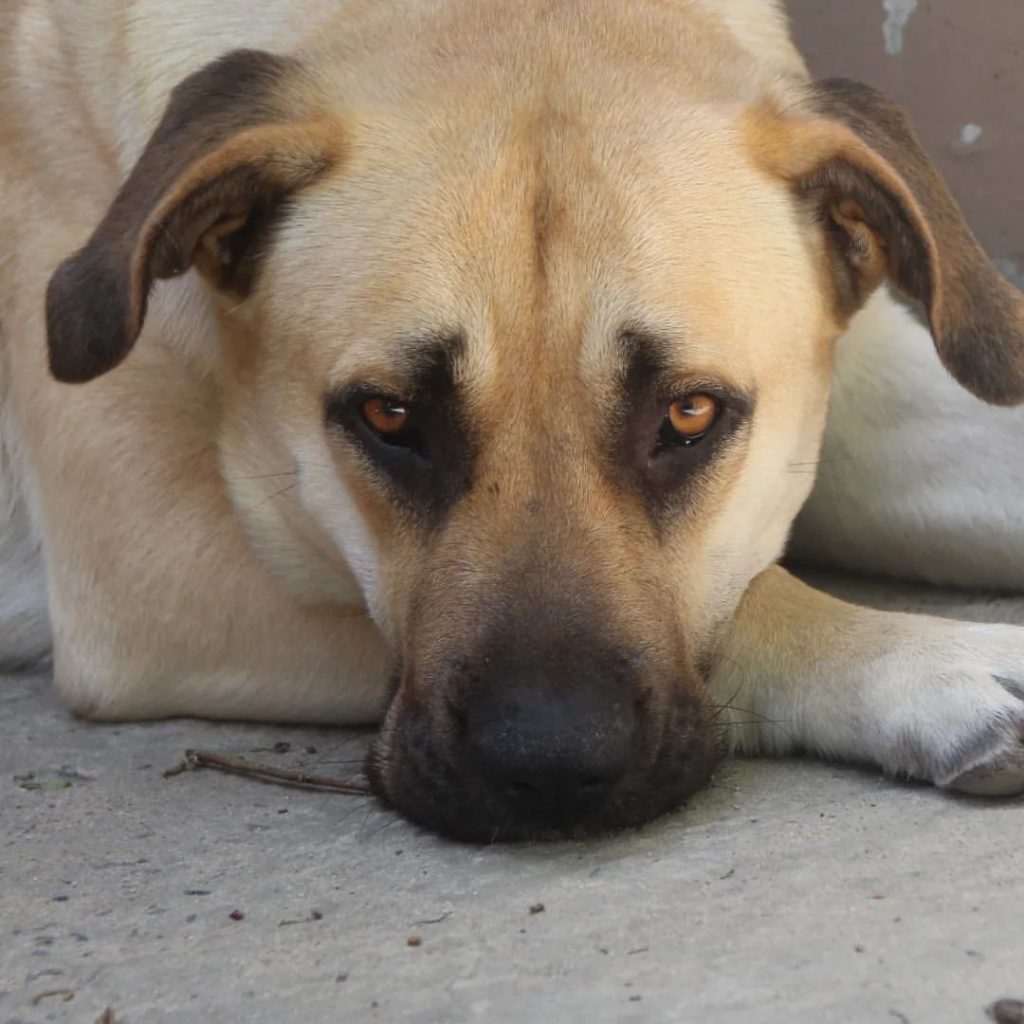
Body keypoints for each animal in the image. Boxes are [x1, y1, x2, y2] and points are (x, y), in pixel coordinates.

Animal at [2, 0, 1024, 839]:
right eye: (389, 416)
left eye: (690, 413)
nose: (551, 762)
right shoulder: (155, 584)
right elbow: (758, 598)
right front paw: (926, 660)